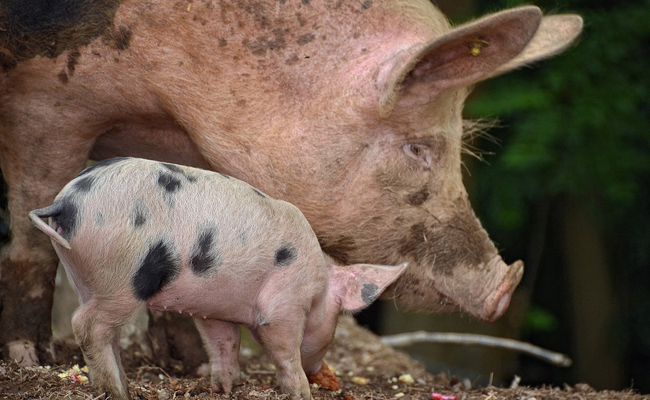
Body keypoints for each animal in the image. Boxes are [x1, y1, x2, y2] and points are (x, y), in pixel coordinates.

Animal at [30, 157, 404, 400]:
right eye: (338, 320)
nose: (321, 372)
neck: (318, 283)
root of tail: (67, 201)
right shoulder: (284, 304)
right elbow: (284, 349)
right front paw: (300, 392)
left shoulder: (215, 309)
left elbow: (224, 344)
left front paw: (224, 389)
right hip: (123, 276)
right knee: (86, 326)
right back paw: (118, 392)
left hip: (84, 275)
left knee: (103, 331)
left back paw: (125, 387)